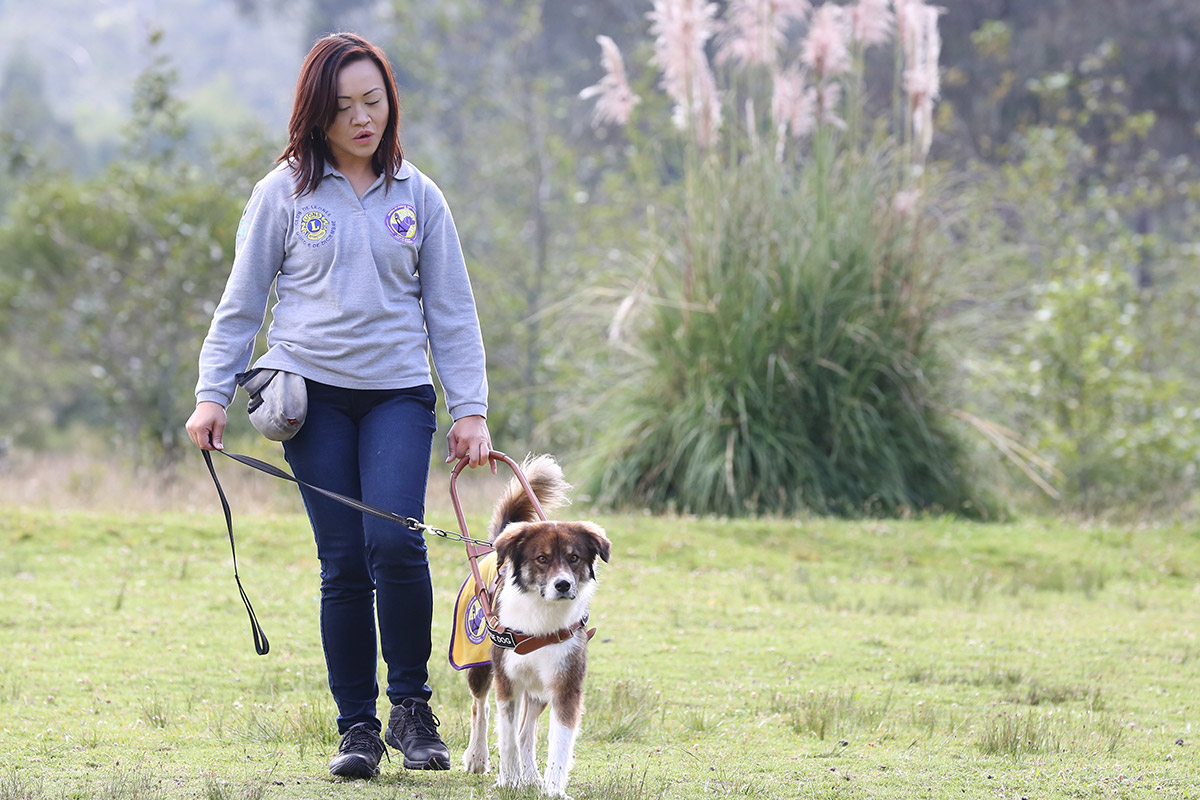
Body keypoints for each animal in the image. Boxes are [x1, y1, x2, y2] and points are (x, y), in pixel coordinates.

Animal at [458, 453, 609, 796]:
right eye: (542, 559)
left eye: (574, 558)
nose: (563, 585)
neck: (541, 616)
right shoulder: (507, 681)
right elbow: (507, 736)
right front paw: (508, 779)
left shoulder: (565, 683)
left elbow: (558, 742)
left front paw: (552, 788)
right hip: (481, 666)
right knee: (480, 707)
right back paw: (478, 757)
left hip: (539, 689)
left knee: (527, 732)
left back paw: (530, 776)